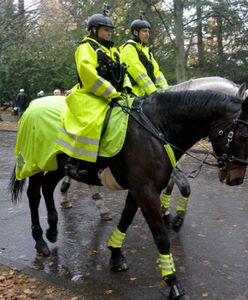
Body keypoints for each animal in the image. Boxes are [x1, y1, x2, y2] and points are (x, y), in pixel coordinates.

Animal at [9, 90, 248, 298]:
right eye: (243, 135)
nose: (237, 179)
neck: (156, 129)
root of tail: (32, 106)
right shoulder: (146, 192)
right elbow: (160, 237)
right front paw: (172, 281)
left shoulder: (138, 190)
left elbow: (125, 219)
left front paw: (115, 255)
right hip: (36, 163)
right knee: (34, 195)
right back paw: (40, 240)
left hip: (58, 165)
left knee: (48, 187)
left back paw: (52, 230)